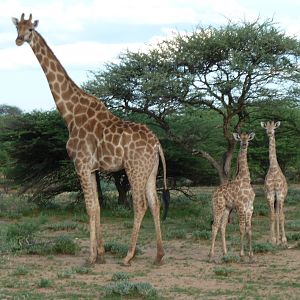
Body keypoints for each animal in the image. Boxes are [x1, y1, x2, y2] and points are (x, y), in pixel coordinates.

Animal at [11, 12, 170, 266]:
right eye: (17, 27)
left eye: (31, 30)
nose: (18, 40)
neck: (70, 114)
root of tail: (157, 144)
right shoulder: (93, 168)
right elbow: (97, 206)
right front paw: (101, 254)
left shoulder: (81, 164)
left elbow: (90, 207)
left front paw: (91, 256)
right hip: (150, 170)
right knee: (154, 203)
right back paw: (159, 255)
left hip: (134, 168)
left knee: (140, 205)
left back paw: (128, 256)